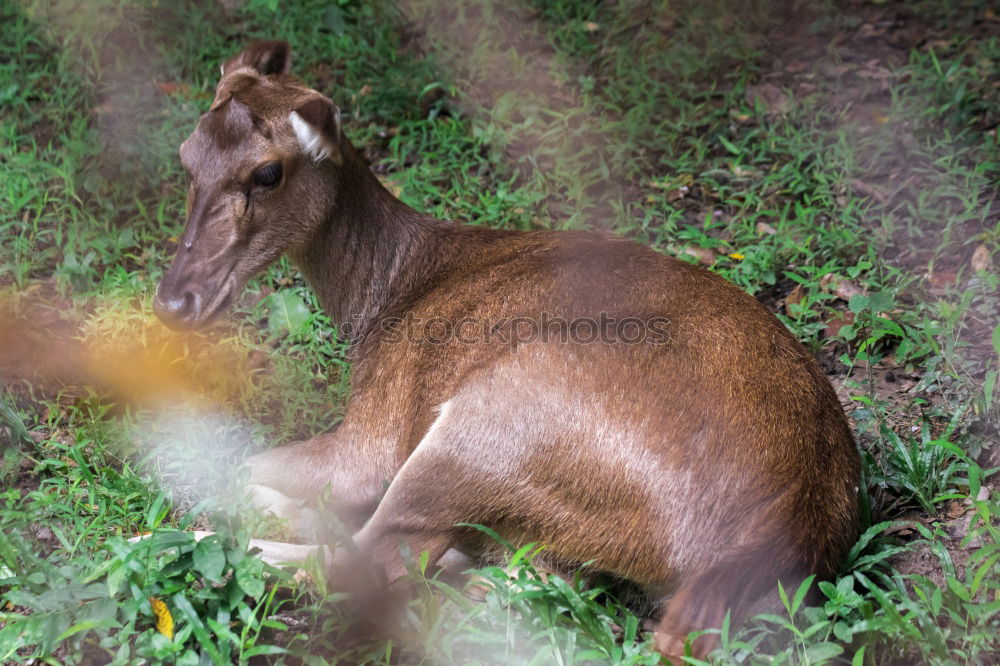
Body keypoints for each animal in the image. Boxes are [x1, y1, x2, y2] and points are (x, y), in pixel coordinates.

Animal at [154, 41, 860, 660]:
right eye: (185, 157)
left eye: (268, 172)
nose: (174, 300)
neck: (383, 299)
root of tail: (789, 532)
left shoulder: (375, 428)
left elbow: (250, 462)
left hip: (490, 422)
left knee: (374, 558)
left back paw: (186, 538)